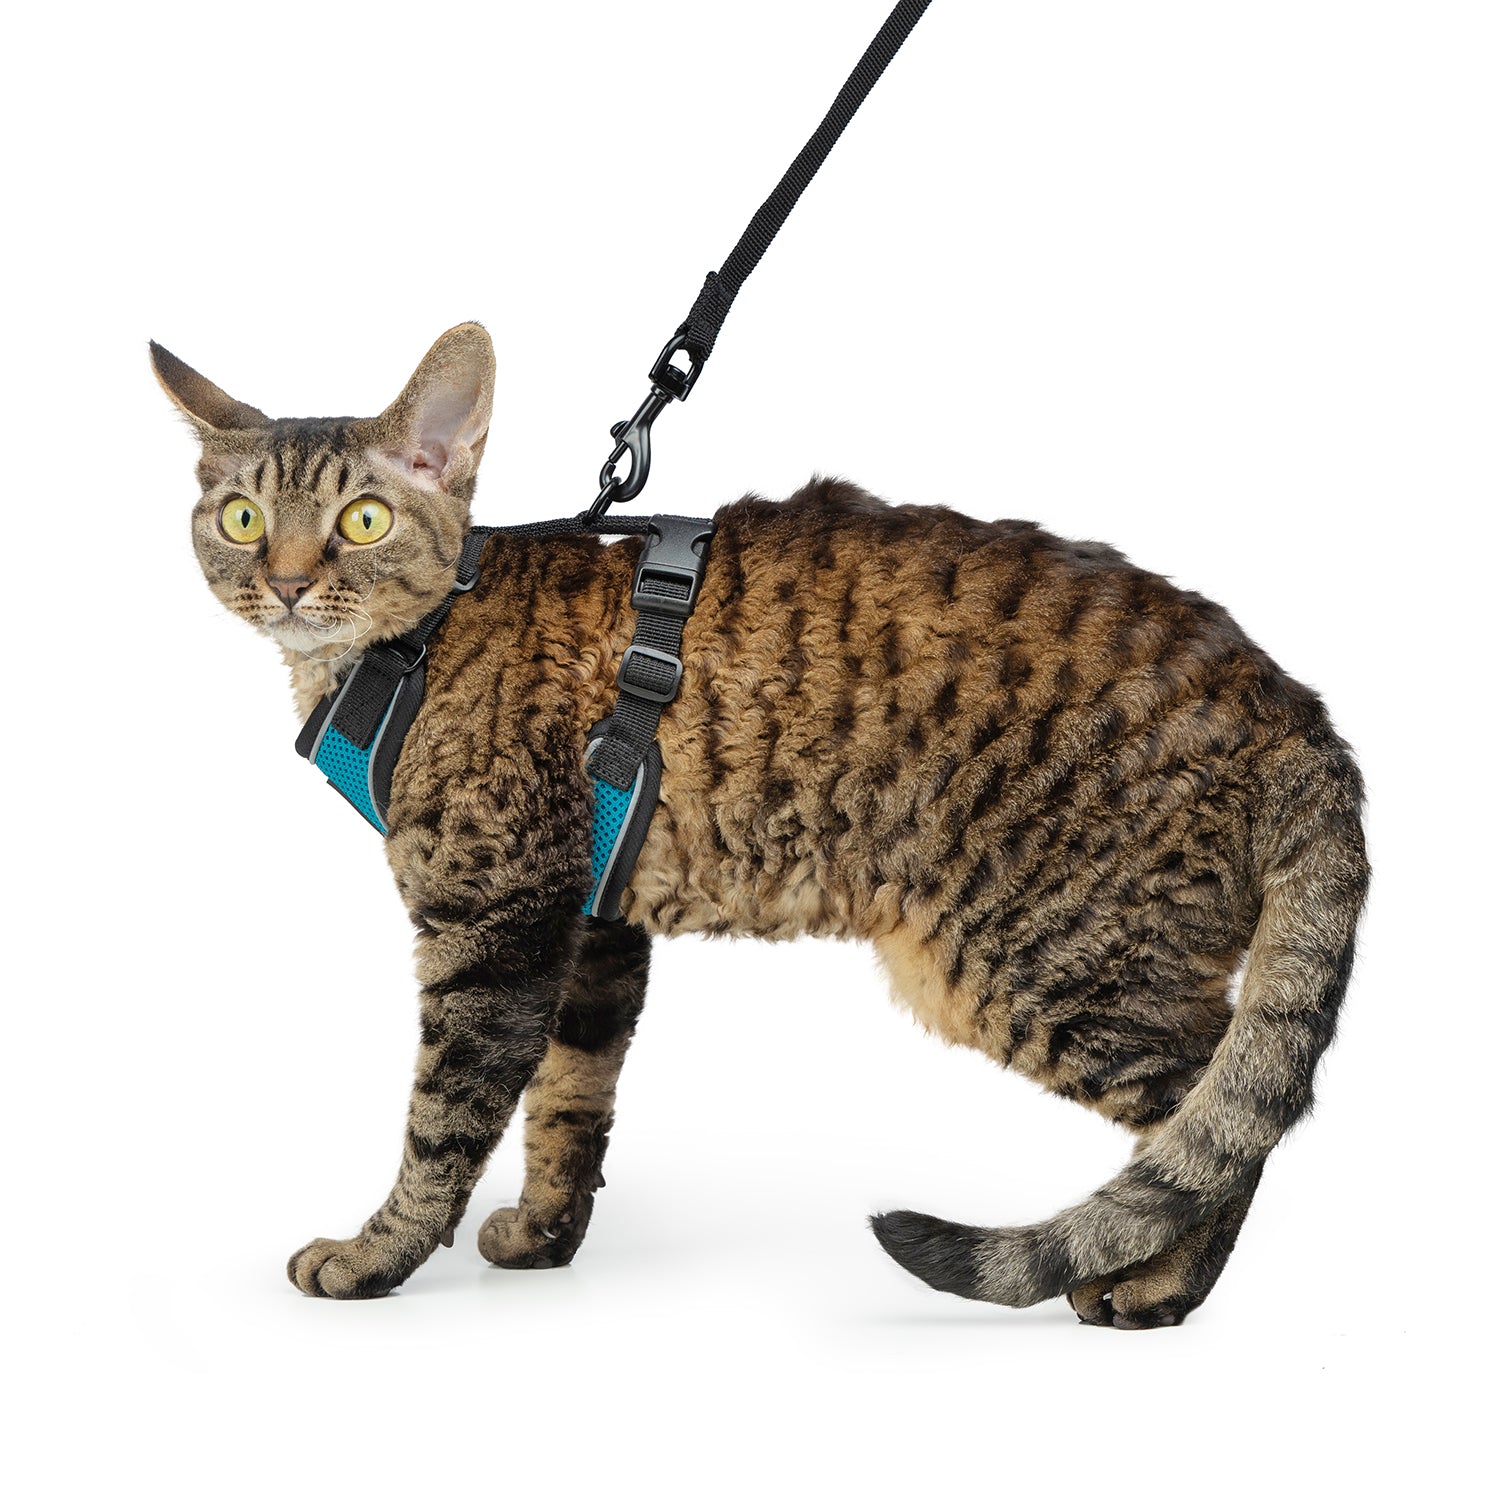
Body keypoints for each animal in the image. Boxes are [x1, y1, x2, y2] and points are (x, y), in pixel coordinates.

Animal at [153, 322, 1368, 1329]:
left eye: (362, 521)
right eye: (242, 518)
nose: (287, 582)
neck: (408, 645)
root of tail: (1290, 703)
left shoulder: (498, 922)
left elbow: (445, 1115)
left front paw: (377, 1256)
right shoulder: (595, 921)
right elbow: (570, 1099)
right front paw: (545, 1233)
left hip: (1030, 959)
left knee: (1224, 1115)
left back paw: (1155, 1285)